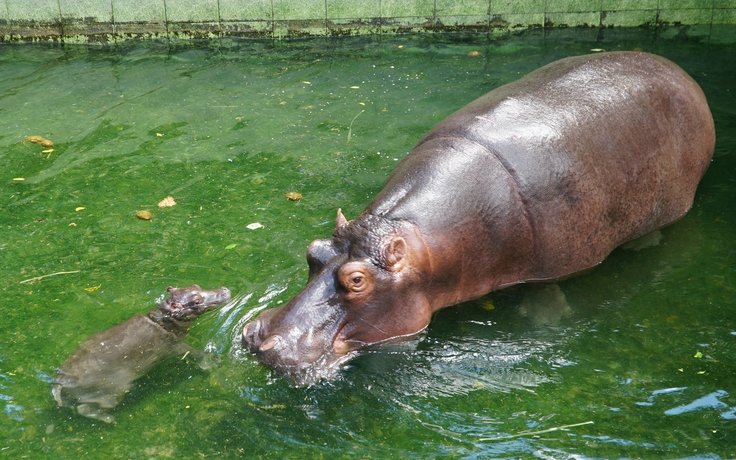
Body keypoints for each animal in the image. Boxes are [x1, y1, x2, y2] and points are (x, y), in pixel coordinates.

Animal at [51, 284, 229, 424]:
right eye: (197, 301)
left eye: (196, 285)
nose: (224, 290)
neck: (162, 319)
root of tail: (59, 381)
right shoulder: (175, 346)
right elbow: (193, 353)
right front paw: (213, 360)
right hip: (113, 392)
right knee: (85, 408)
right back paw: (110, 419)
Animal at [242, 51, 712, 384]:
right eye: (313, 251)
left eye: (357, 281)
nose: (261, 340)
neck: (421, 243)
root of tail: (681, 72)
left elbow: (549, 293)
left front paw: (545, 316)